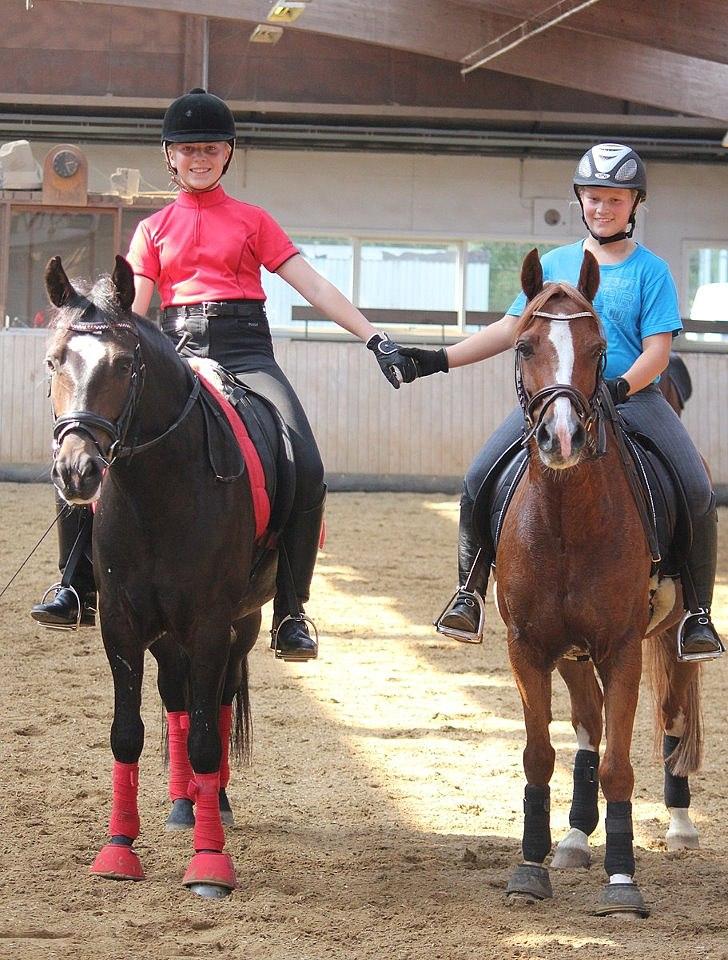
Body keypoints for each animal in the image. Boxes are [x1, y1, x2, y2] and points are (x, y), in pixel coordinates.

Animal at [44, 255, 279, 898]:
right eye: (54, 361)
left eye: (125, 365)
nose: (77, 472)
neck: (157, 493)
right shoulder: (122, 626)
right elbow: (128, 732)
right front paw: (118, 850)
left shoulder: (210, 624)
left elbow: (205, 738)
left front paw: (210, 864)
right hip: (167, 634)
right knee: (178, 698)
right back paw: (183, 803)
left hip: (242, 624)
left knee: (214, 705)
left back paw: (212, 802)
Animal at [494, 248, 703, 918]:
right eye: (525, 344)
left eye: (598, 348)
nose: (562, 438)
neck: (565, 519)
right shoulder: (528, 647)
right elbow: (540, 755)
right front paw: (531, 867)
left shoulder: (621, 648)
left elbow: (618, 765)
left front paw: (622, 880)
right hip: (571, 653)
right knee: (587, 725)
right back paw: (573, 839)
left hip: (675, 635)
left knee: (673, 716)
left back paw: (680, 825)